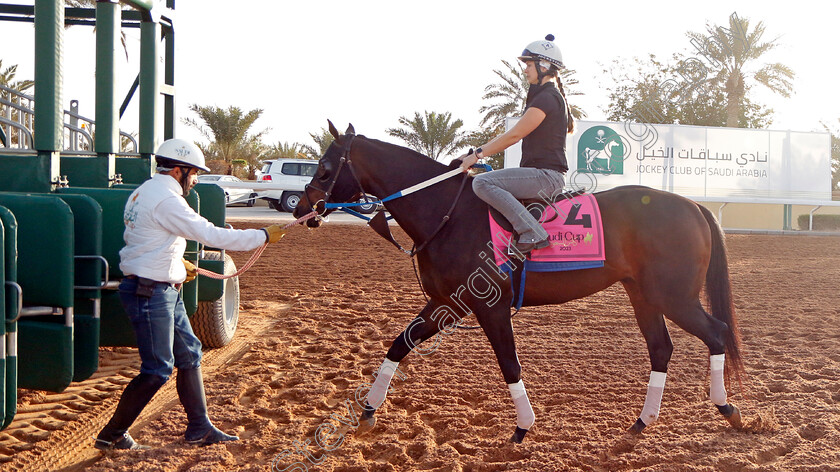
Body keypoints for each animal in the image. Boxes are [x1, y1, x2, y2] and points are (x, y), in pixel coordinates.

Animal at [292, 121, 744, 442]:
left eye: (326, 168)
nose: (300, 207)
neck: (448, 213)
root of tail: (692, 205)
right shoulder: (445, 303)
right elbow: (399, 344)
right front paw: (368, 409)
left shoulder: (488, 307)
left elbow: (509, 363)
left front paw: (523, 425)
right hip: (644, 295)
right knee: (661, 348)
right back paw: (642, 422)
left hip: (674, 296)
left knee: (717, 332)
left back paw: (728, 409)